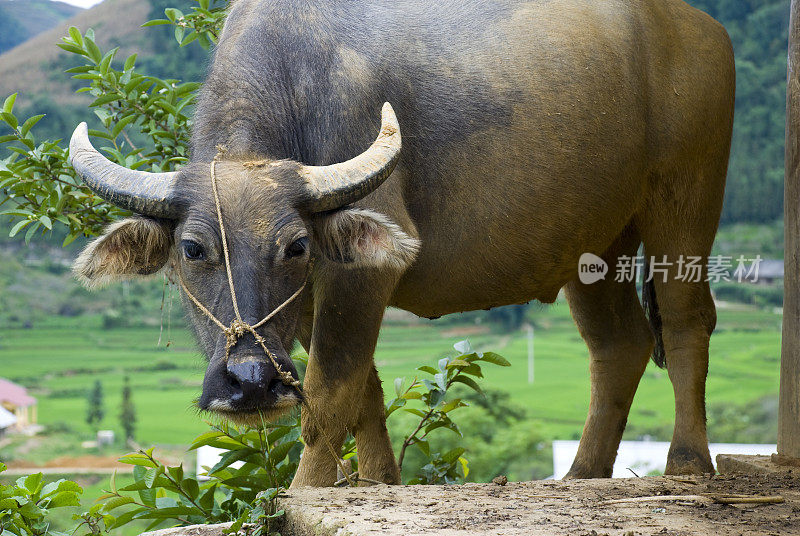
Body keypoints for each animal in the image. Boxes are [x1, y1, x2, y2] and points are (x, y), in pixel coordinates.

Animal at [69, 0, 732, 486]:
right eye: (193, 250)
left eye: (295, 247)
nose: (252, 381)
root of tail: (697, 28)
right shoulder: (315, 299)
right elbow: (364, 390)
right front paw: (379, 479)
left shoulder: (358, 275)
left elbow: (329, 393)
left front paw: (308, 488)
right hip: (595, 243)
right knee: (618, 344)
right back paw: (582, 473)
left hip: (685, 202)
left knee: (685, 320)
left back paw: (688, 462)